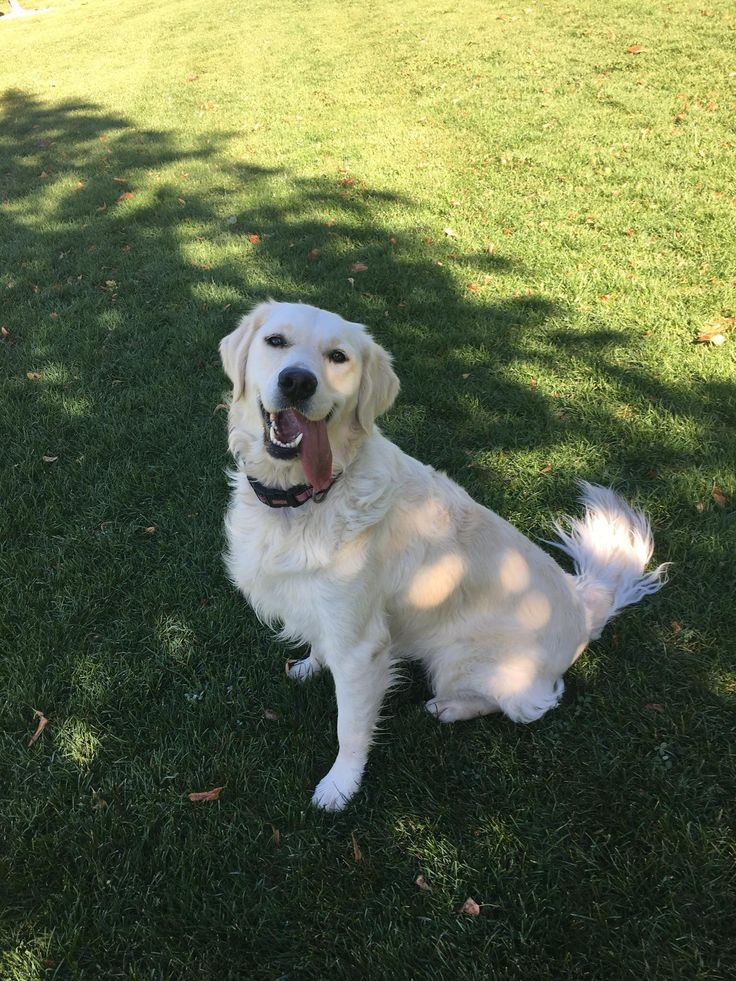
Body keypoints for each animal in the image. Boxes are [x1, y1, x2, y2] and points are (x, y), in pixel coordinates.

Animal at [220, 302, 668, 808]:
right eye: (275, 341)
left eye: (338, 357)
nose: (298, 381)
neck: (304, 497)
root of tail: (583, 607)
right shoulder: (325, 611)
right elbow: (318, 641)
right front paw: (309, 666)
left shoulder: (362, 647)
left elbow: (350, 728)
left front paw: (339, 786)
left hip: (468, 662)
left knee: (533, 704)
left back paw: (450, 706)